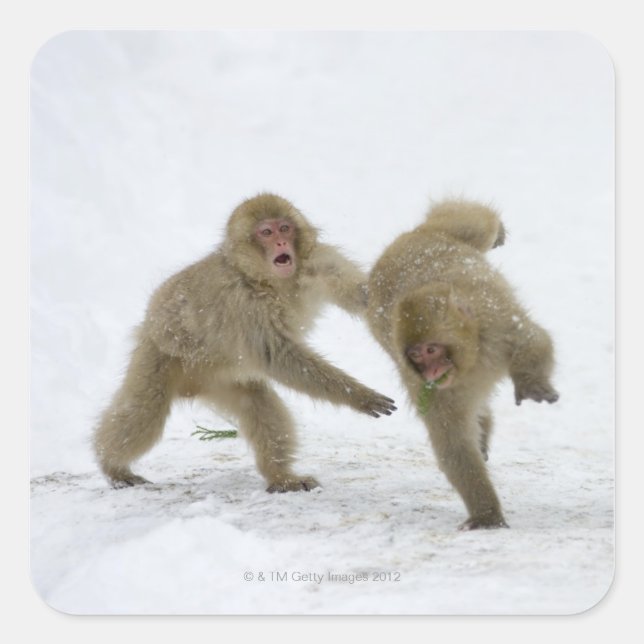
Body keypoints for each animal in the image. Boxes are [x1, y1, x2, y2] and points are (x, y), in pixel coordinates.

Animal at [94, 193, 397, 493]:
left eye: (284, 228)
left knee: (257, 401)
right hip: (160, 354)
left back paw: (281, 477)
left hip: (222, 379)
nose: (281, 243)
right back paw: (112, 465)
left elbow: (362, 296)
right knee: (145, 410)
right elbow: (279, 356)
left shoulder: (318, 261)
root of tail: (191, 388)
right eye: (266, 232)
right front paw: (358, 395)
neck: (270, 281)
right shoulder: (242, 303)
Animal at [367, 199, 559, 529]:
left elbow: (533, 339)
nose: (432, 370)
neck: (473, 358)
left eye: (432, 349)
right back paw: (484, 426)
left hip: (450, 233)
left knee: (477, 222)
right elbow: (453, 442)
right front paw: (486, 515)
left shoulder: (495, 324)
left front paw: (532, 383)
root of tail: (398, 243)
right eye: (417, 355)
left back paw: (497, 229)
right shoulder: (427, 386)